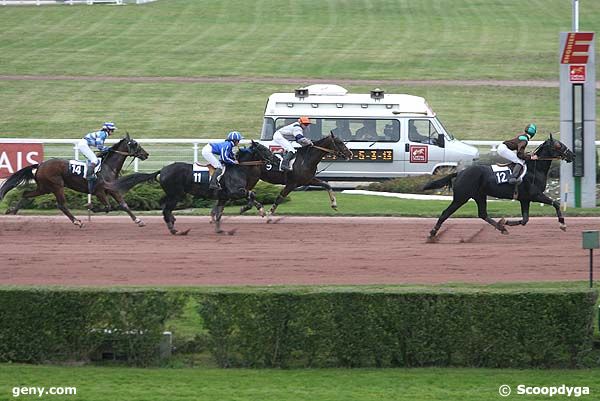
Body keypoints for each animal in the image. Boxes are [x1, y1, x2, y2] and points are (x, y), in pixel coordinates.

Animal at [0, 134, 149, 227]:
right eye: (135, 144)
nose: (146, 154)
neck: (107, 167)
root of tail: (41, 165)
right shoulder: (99, 191)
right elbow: (108, 207)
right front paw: (90, 206)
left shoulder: (112, 189)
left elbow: (124, 205)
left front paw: (138, 220)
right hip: (57, 186)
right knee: (61, 205)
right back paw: (77, 221)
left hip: (44, 187)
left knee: (26, 193)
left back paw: (12, 210)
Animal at [111, 141, 274, 234]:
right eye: (264, 149)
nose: (275, 158)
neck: (238, 168)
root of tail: (162, 170)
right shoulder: (234, 192)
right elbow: (251, 195)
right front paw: (252, 209)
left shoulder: (223, 197)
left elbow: (219, 212)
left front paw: (219, 229)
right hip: (177, 194)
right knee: (166, 208)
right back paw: (173, 228)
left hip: (173, 193)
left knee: (163, 204)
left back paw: (172, 221)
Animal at [424, 134, 576, 241]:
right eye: (558, 145)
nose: (573, 155)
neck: (535, 169)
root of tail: (461, 172)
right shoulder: (535, 195)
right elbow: (556, 203)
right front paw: (562, 224)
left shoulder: (525, 199)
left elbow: (525, 220)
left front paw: (506, 221)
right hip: (461, 197)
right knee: (445, 213)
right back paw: (432, 234)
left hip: (479, 195)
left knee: (482, 214)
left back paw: (501, 227)